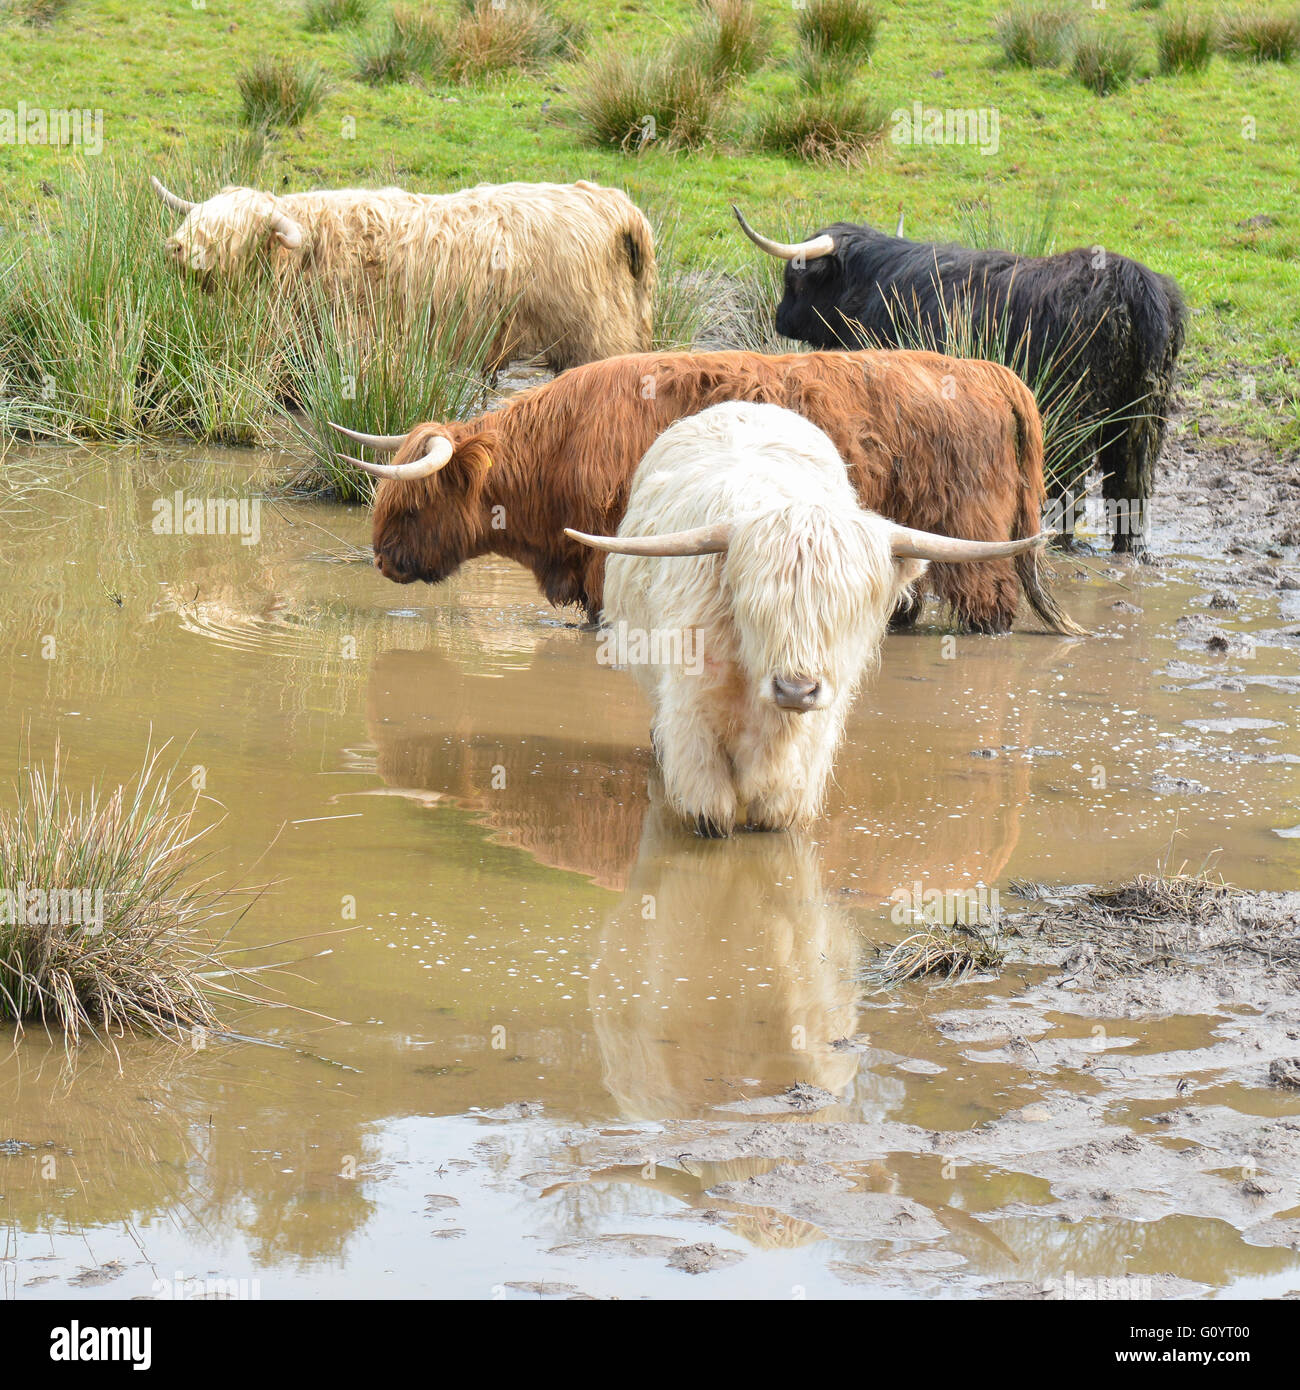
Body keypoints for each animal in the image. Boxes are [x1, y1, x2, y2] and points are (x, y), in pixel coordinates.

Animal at [570, 403, 1045, 834]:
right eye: (755, 604)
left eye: (847, 608)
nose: (796, 690)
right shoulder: (695, 717)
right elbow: (709, 812)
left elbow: (777, 815)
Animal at [739, 205, 1184, 553]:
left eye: (794, 279)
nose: (779, 318)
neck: (873, 285)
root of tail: (1135, 286)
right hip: (1145, 416)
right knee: (1133, 483)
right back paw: (1130, 550)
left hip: (1075, 410)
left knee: (1072, 483)